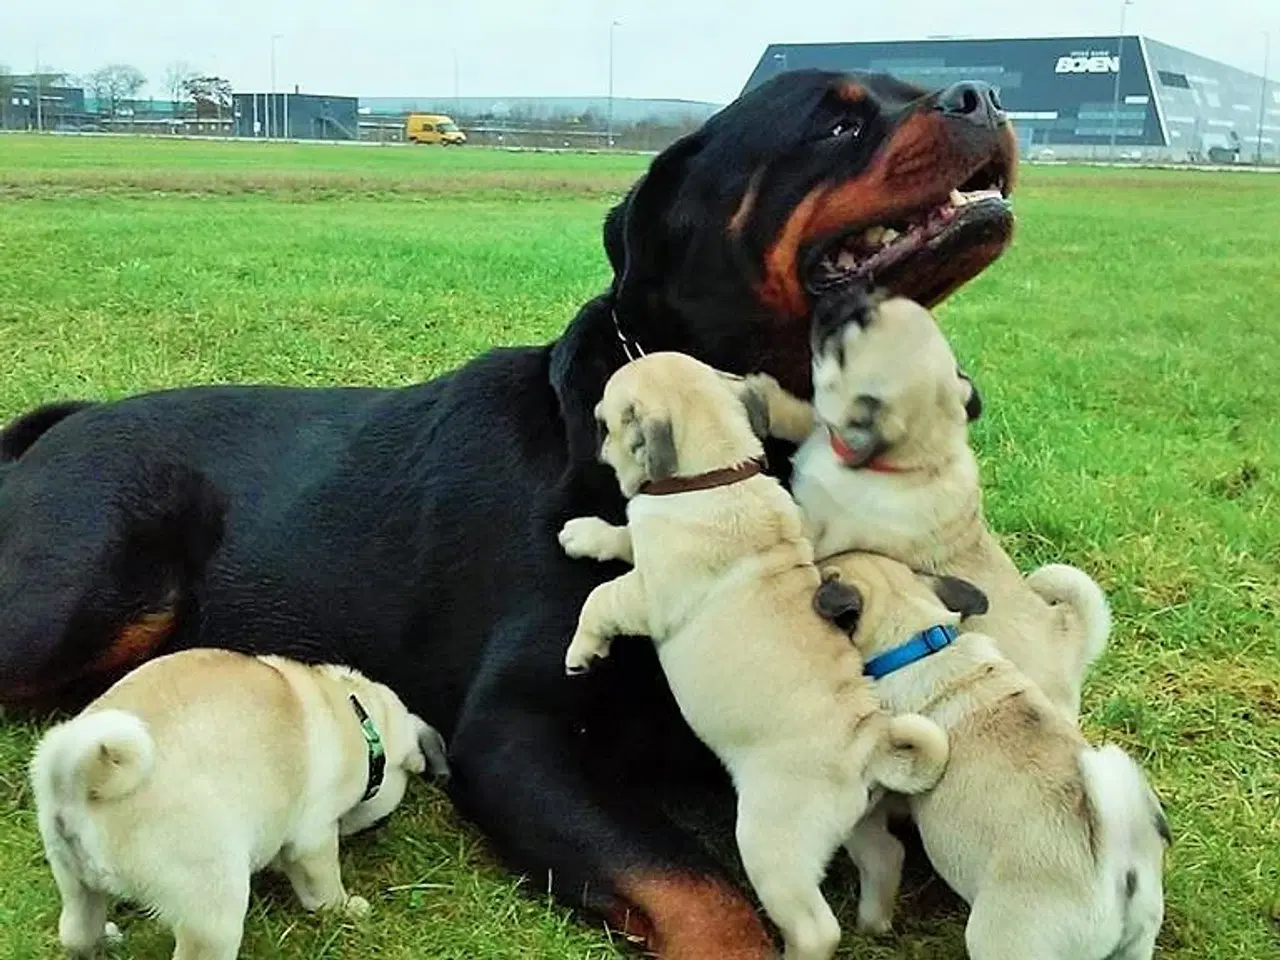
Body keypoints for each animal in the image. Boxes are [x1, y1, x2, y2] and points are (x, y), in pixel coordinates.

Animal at [31, 650, 450, 960]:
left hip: (73, 879)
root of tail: (88, 778)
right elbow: (323, 885)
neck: (356, 715)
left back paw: (106, 938)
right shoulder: (313, 837)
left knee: (77, 932)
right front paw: (345, 908)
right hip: (215, 905)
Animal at [560, 350, 952, 960]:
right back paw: (874, 919)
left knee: (815, 926)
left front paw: (583, 653)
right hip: (856, 823)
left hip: (773, 842)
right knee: (884, 855)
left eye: (606, 423)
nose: (596, 442)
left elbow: (600, 598)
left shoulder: (647, 595)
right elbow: (622, 537)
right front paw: (584, 534)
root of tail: (868, 743)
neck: (714, 471)